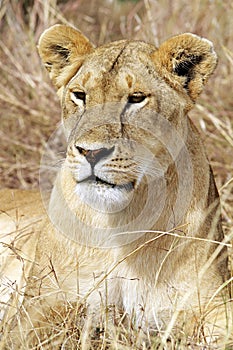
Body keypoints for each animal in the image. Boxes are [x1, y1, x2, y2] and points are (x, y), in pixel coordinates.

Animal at [0, 24, 232, 348]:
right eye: (79, 95)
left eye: (136, 98)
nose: (91, 152)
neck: (122, 223)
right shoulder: (38, 306)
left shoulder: (212, 305)